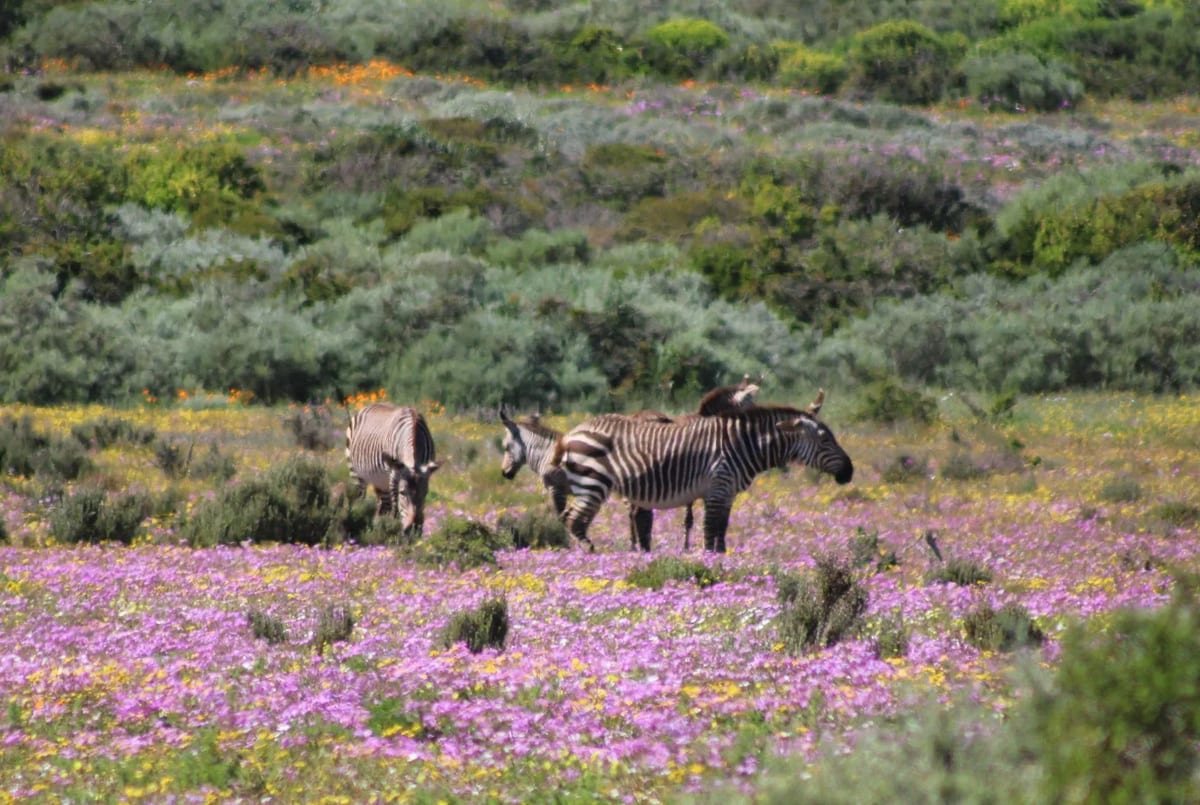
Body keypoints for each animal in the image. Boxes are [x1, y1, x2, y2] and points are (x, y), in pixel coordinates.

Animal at [346, 402, 439, 536]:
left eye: (426, 492)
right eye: (403, 493)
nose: (414, 530)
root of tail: (369, 405)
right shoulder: (394, 474)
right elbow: (396, 507)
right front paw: (396, 531)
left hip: (380, 481)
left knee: (383, 507)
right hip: (356, 473)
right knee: (360, 499)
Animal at [552, 391, 852, 553]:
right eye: (825, 439)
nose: (849, 472)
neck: (740, 445)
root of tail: (571, 433)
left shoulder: (728, 493)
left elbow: (721, 533)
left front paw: (721, 561)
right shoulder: (717, 489)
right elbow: (710, 533)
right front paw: (709, 567)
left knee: (569, 519)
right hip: (593, 482)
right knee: (575, 521)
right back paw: (590, 559)